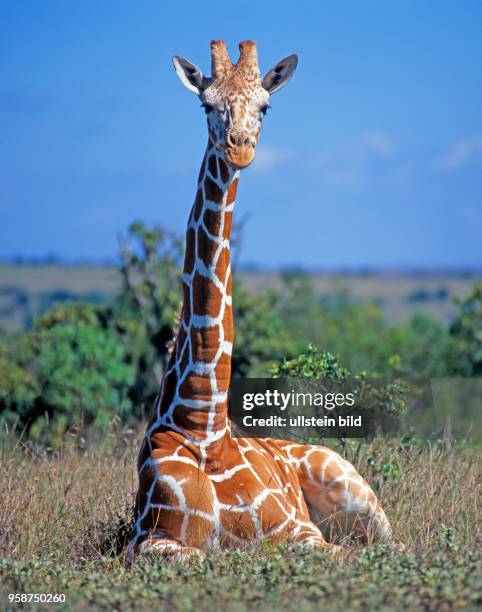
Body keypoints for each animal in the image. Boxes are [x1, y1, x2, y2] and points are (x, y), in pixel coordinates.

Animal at [126, 39, 398, 564]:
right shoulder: (145, 541)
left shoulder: (299, 530)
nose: (239, 148)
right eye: (206, 105)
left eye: (265, 107)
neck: (205, 426)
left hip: (356, 490)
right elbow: (199, 555)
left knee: (396, 544)